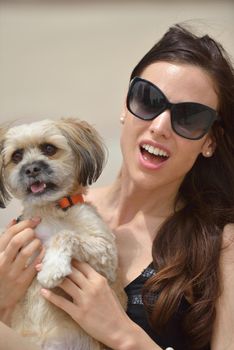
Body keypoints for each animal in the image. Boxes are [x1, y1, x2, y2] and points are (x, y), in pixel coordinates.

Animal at [0, 118, 124, 350]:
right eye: (17, 156)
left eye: (49, 149)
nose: (31, 169)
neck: (48, 209)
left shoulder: (106, 257)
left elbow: (64, 235)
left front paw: (52, 269)